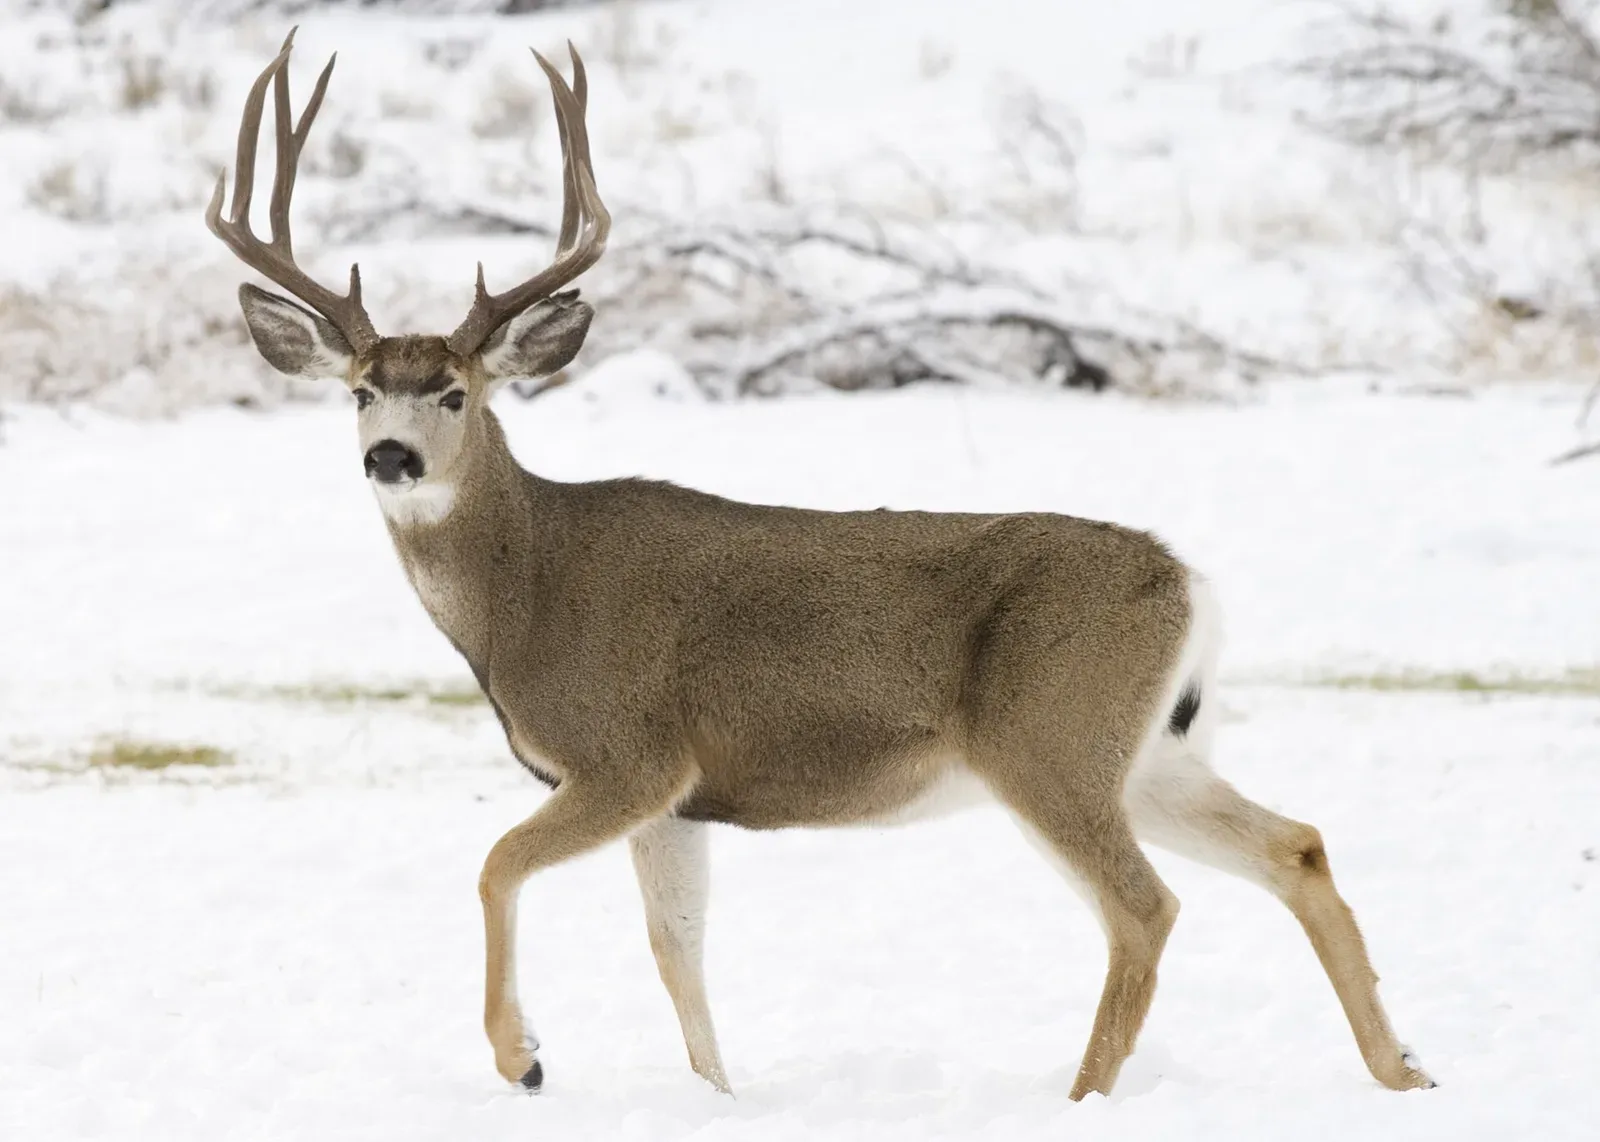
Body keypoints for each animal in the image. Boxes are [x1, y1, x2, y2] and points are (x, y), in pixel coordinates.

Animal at [207, 31, 1435, 1103]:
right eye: (360, 389)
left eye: (456, 391)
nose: (392, 456)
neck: (525, 592)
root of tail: (1188, 582)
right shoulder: (682, 798)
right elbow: (677, 949)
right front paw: (718, 1095)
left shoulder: (628, 754)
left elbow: (497, 863)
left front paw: (526, 1059)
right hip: (1149, 749)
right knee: (1297, 845)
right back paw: (1405, 1068)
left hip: (1048, 738)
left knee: (1146, 907)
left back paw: (1083, 1095)